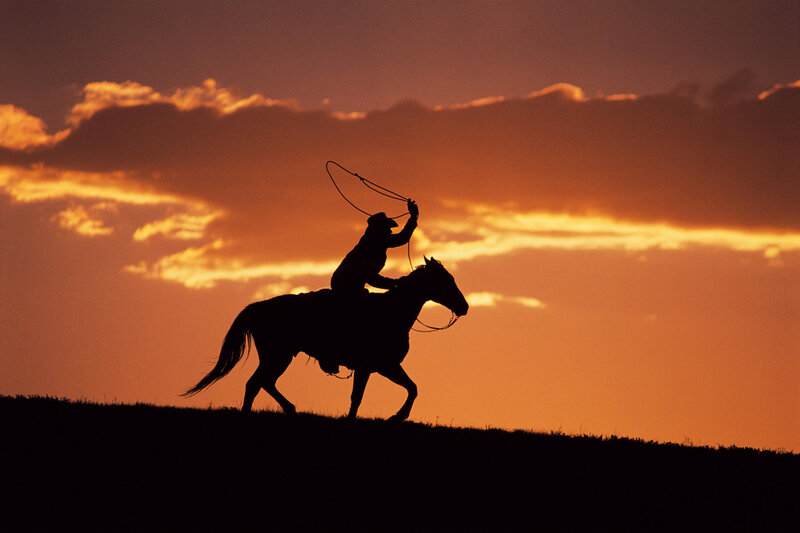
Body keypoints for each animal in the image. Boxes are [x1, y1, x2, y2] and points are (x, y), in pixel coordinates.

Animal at [182, 257, 469, 421]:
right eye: (446, 280)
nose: (464, 306)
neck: (391, 312)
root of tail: (258, 307)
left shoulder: (384, 367)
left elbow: (412, 387)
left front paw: (396, 416)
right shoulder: (374, 367)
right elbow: (360, 397)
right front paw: (394, 416)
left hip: (280, 356)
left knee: (264, 383)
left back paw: (289, 409)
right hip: (277, 355)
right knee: (256, 383)